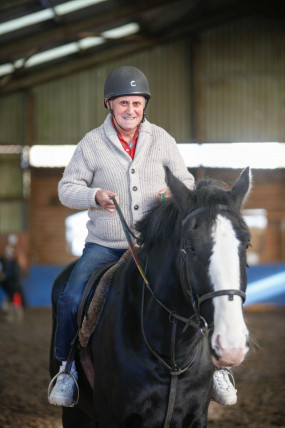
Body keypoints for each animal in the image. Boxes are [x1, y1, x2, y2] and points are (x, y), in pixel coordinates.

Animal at [49, 167, 251, 428]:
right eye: (190, 247)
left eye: (247, 245)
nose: (231, 345)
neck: (172, 354)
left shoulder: (196, 416)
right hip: (75, 413)